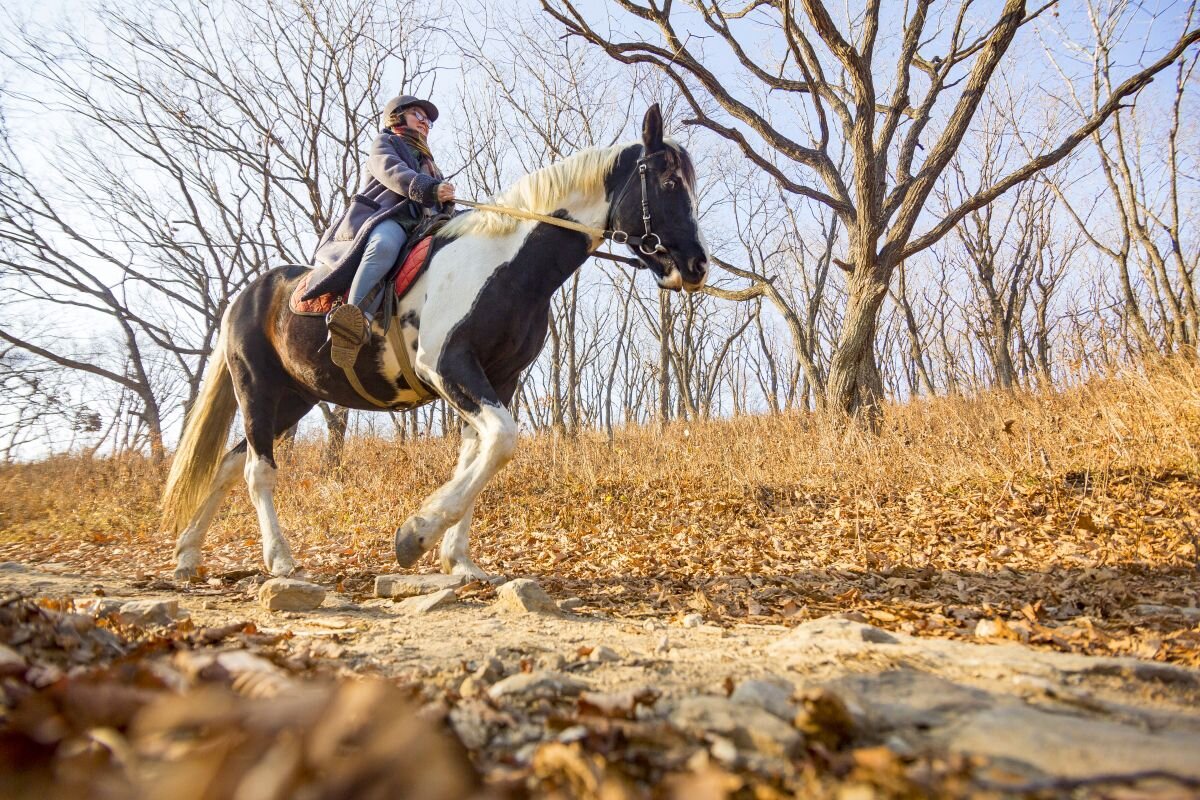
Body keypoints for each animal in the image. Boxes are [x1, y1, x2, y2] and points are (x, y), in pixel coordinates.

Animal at [158, 104, 700, 582]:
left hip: (295, 396)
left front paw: (458, 559)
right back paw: (281, 560)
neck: (505, 264)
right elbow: (502, 440)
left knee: (230, 463)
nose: (695, 266)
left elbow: (480, 451)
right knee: (257, 470)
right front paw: (415, 535)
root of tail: (246, 296)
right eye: (669, 182)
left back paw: (187, 555)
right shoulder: (447, 365)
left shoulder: (498, 378)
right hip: (257, 387)